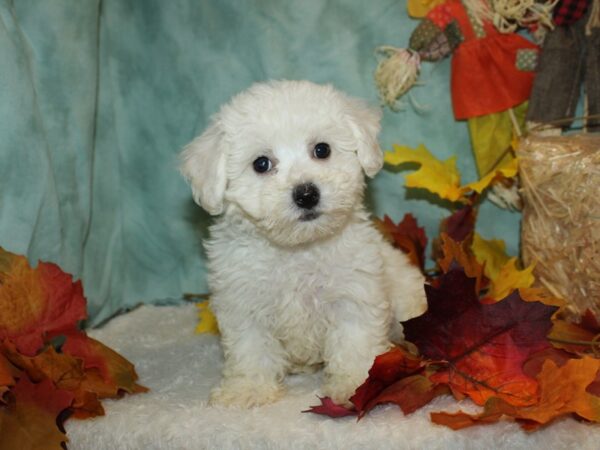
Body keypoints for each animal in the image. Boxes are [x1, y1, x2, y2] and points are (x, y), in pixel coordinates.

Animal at [182, 80, 426, 408]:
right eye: (261, 164)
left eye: (322, 150)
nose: (306, 194)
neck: (297, 249)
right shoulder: (244, 302)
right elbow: (250, 348)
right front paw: (248, 389)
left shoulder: (354, 293)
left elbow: (355, 343)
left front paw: (355, 384)